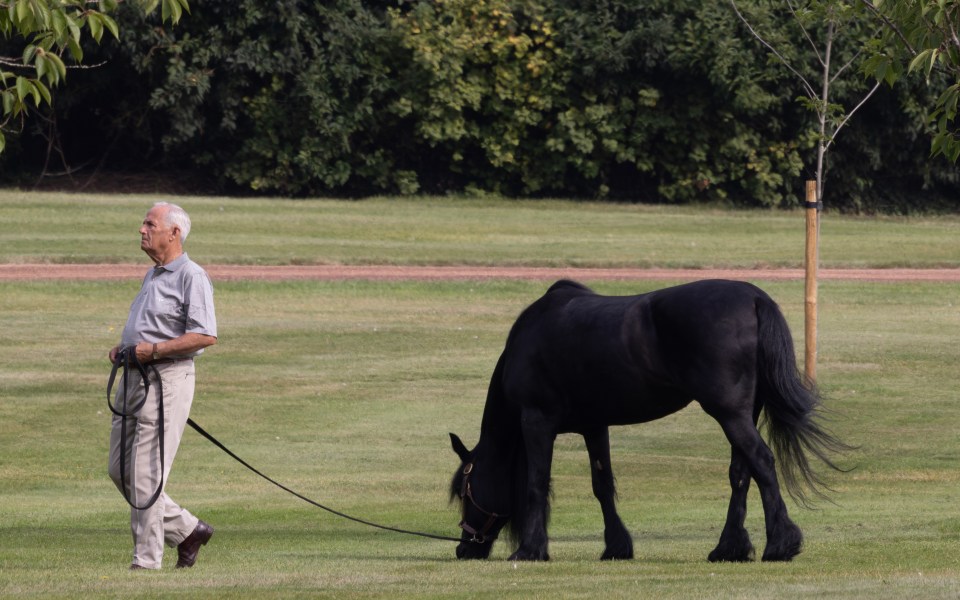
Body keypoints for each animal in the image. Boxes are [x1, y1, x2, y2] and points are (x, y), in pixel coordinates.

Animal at [450, 280, 848, 564]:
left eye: (464, 490)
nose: (464, 547)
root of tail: (754, 299)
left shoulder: (537, 421)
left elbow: (536, 482)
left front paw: (531, 549)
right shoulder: (595, 426)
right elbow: (602, 485)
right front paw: (616, 547)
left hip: (729, 413)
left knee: (762, 462)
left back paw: (780, 544)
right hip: (743, 413)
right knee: (741, 472)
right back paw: (728, 549)